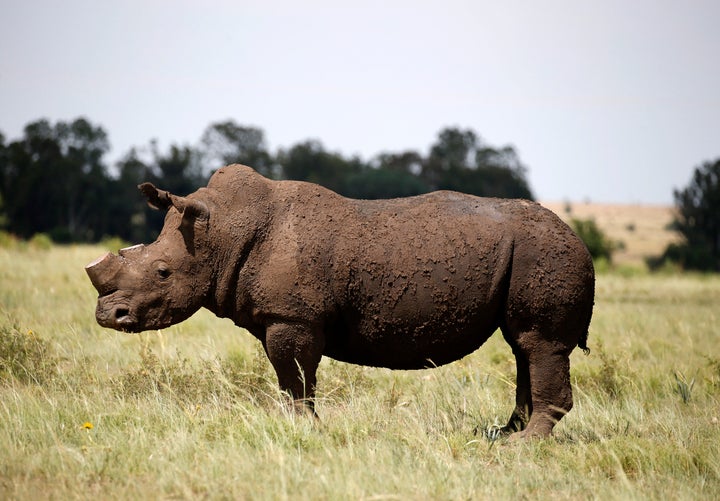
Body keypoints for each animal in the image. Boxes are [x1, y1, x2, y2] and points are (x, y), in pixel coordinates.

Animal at [84, 164, 592, 438]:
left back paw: (522, 446)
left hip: (545, 251)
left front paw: (302, 429)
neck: (223, 232)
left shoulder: (292, 317)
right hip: (533, 253)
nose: (109, 315)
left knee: (539, 343)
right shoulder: (284, 317)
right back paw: (500, 435)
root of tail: (577, 236)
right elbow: (291, 379)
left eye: (162, 272)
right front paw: (299, 426)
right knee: (523, 346)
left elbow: (295, 377)